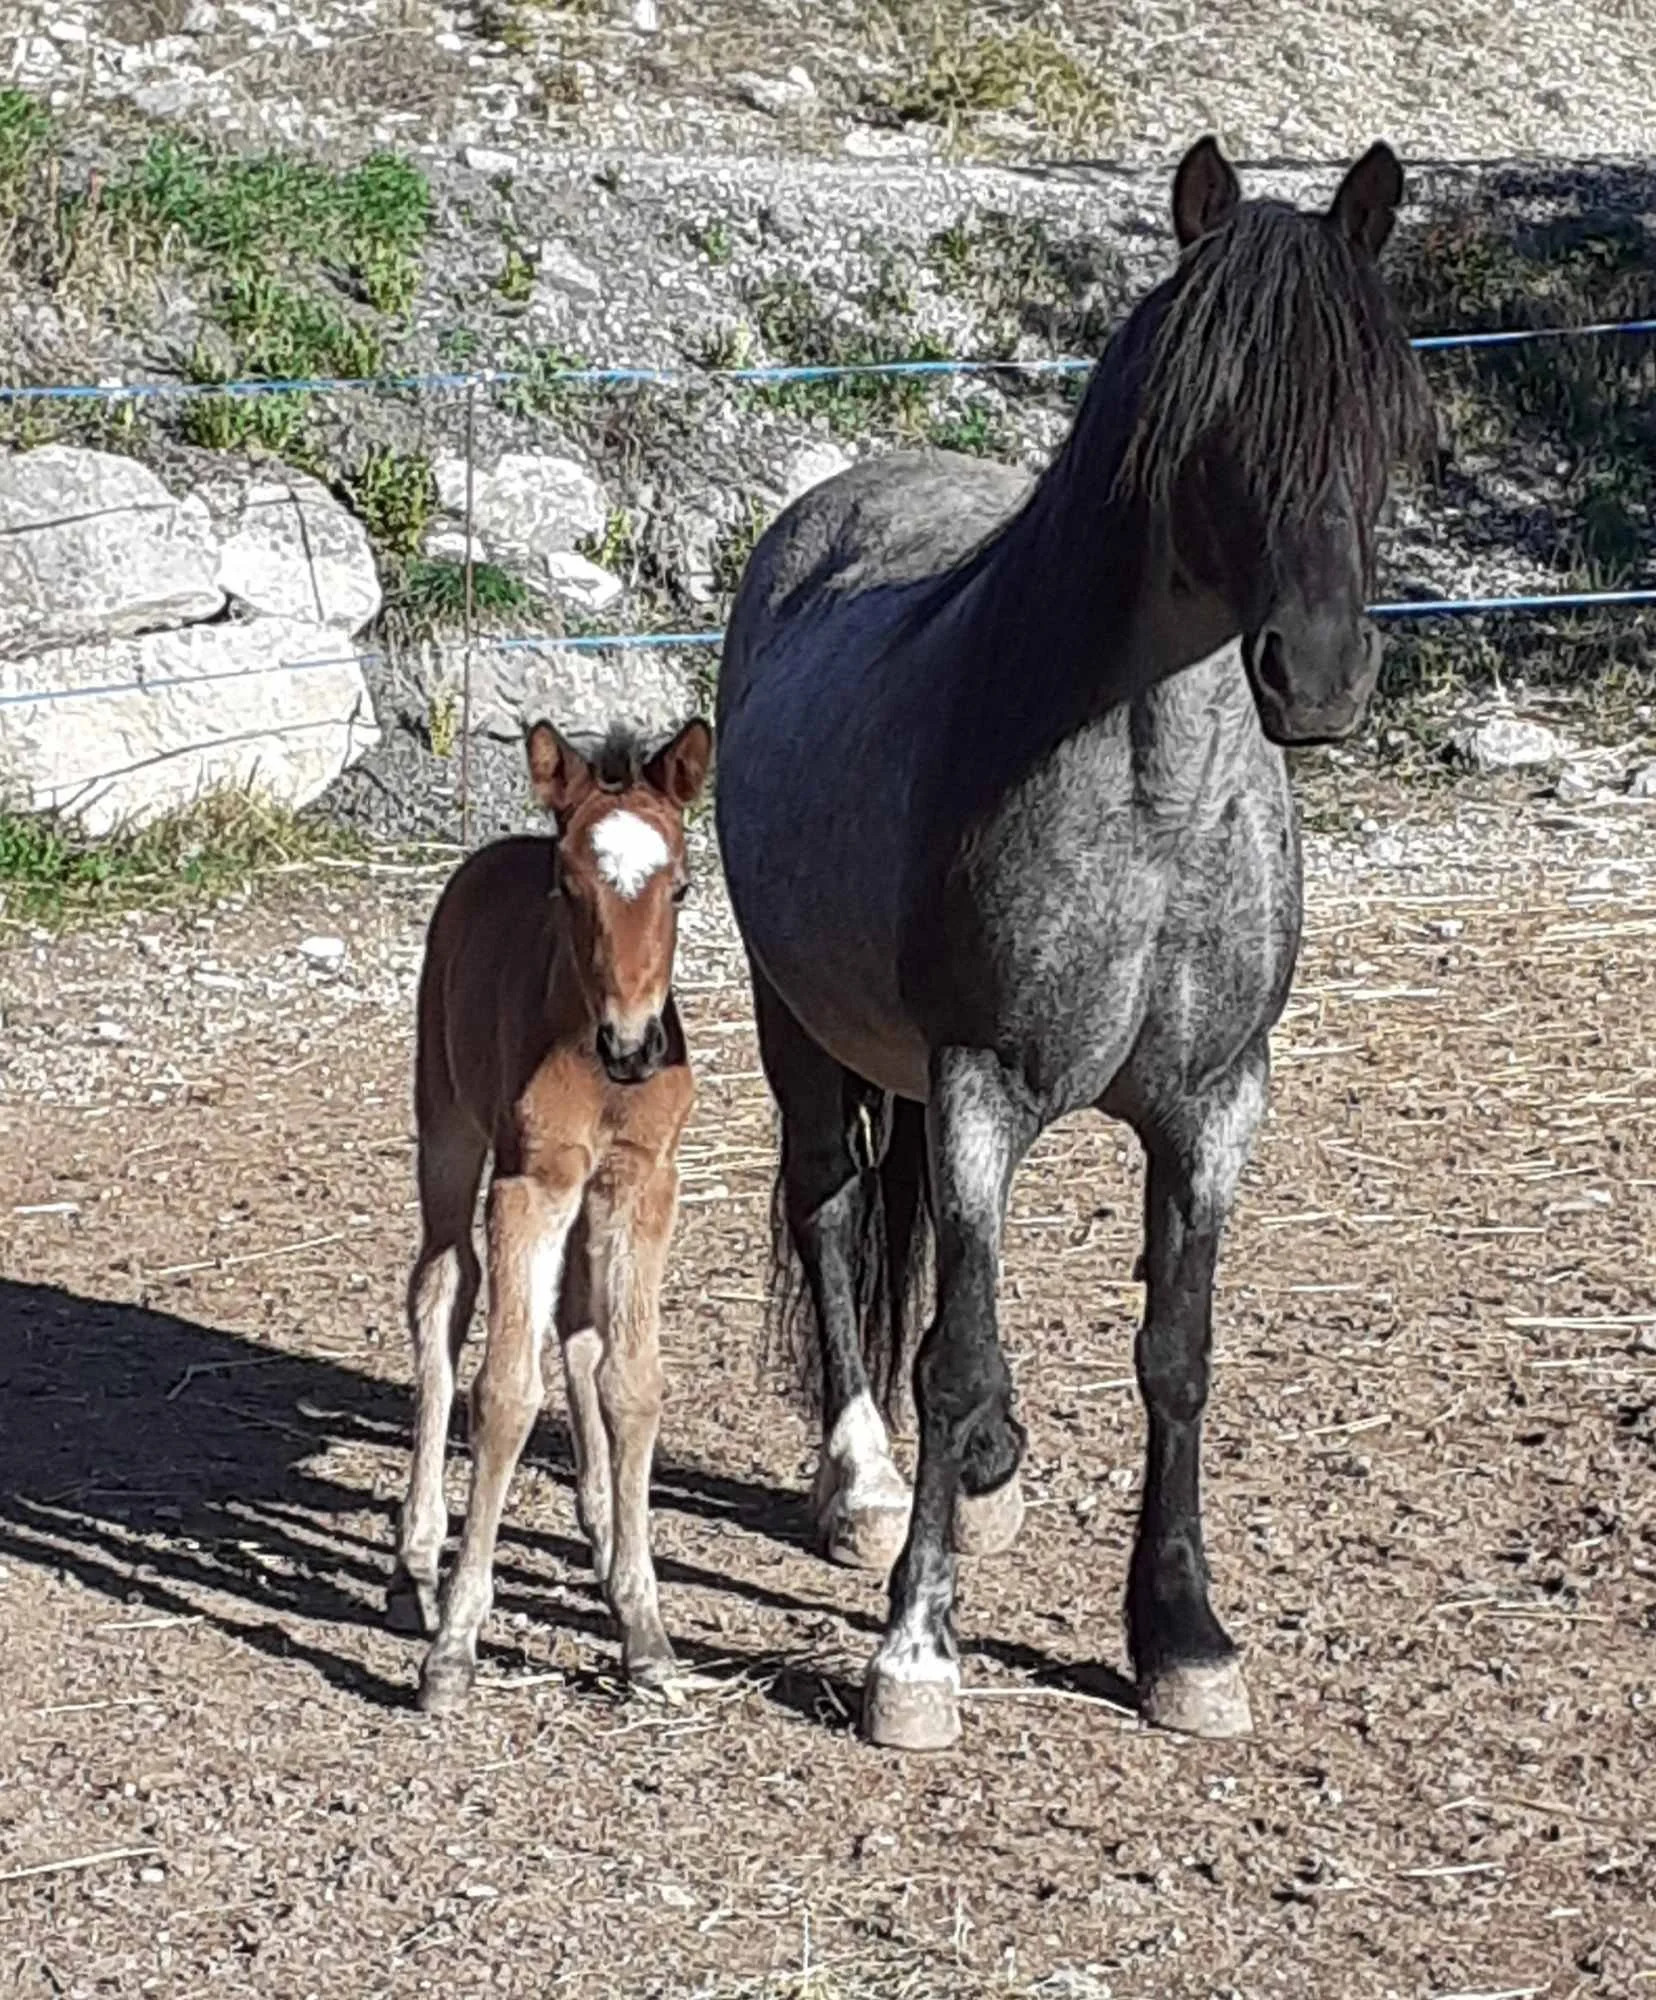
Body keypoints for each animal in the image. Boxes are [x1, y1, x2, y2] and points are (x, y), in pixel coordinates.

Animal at [387, 714, 713, 1714]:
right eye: (569, 887)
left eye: (682, 885)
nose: (634, 1045)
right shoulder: (528, 1185)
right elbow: (503, 1393)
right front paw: (455, 1643)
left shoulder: (642, 1184)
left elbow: (631, 1383)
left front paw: (645, 1630)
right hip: (448, 1130)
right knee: (440, 1294)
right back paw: (416, 1556)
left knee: (577, 1328)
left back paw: (604, 1536)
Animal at [714, 137, 1433, 1751]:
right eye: (1212, 413)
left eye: (1379, 408)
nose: (1319, 672)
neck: (1154, 802)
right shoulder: (984, 1084)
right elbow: (953, 1350)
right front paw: (916, 1652)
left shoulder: (1215, 1106)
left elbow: (1177, 1352)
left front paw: (1182, 1637)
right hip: (802, 1026)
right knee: (833, 1211)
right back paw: (863, 1483)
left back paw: (986, 1479)